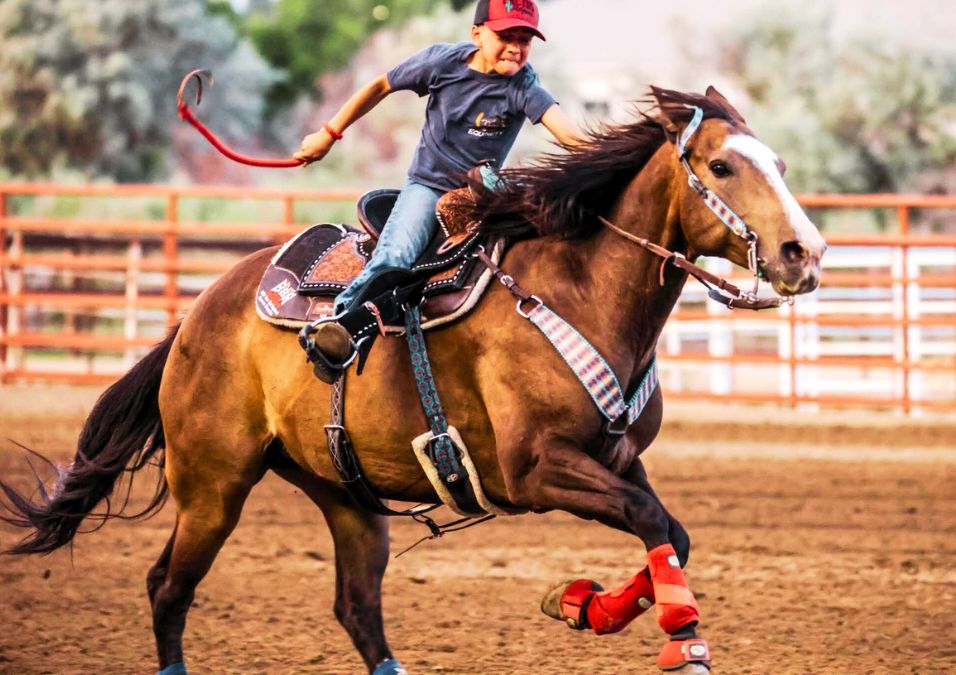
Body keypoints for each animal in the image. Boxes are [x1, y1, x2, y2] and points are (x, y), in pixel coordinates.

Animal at [1, 86, 825, 674]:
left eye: (780, 166)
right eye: (721, 166)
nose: (804, 252)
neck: (574, 291)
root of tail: (198, 315)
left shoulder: (617, 458)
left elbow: (670, 532)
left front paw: (581, 604)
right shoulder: (538, 469)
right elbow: (653, 522)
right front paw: (680, 641)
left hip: (345, 495)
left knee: (356, 606)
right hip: (213, 487)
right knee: (168, 588)